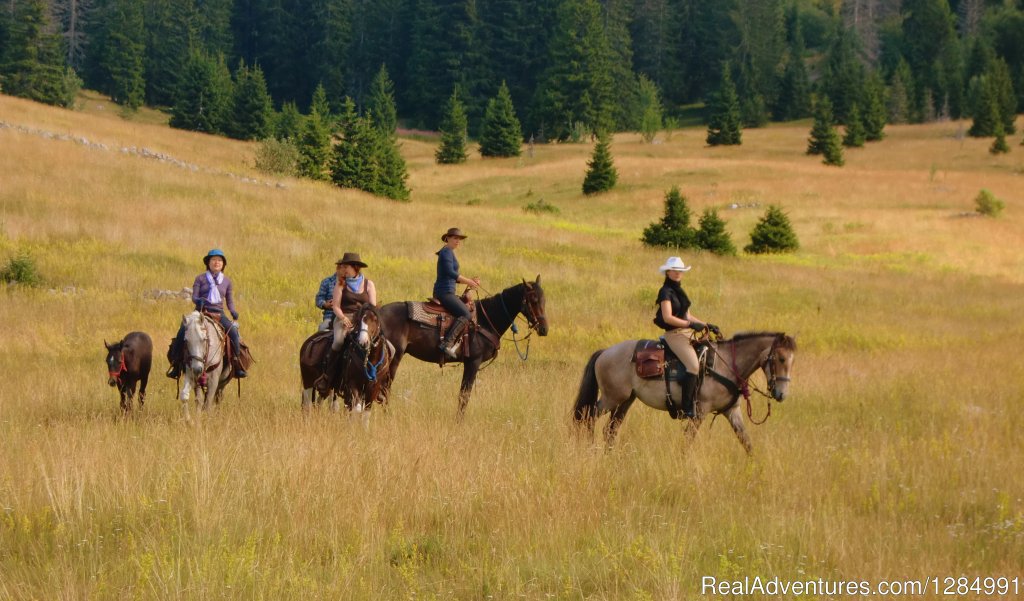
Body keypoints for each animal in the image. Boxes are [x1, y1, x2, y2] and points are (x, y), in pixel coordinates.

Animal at [380, 278, 548, 417]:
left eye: (544, 300)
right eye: (533, 300)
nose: (544, 329)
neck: (485, 319)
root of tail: (377, 312)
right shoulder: (473, 362)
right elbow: (464, 395)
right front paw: (459, 421)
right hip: (394, 358)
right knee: (385, 387)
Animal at [573, 331, 794, 454]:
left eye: (792, 360)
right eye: (781, 359)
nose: (781, 394)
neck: (725, 366)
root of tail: (605, 352)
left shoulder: (732, 411)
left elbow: (746, 442)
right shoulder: (700, 411)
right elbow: (688, 441)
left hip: (626, 401)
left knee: (610, 429)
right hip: (611, 398)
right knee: (588, 417)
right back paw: (589, 449)